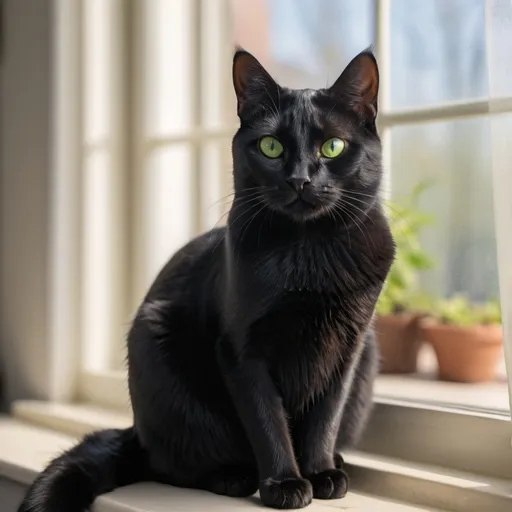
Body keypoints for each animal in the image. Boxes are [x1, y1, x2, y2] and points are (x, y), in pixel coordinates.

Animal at [19, 49, 396, 512]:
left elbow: (325, 416)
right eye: (270, 147)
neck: (308, 251)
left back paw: (333, 462)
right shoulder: (241, 350)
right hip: (156, 349)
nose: (300, 179)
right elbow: (267, 422)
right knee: (173, 464)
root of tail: (136, 432)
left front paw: (321, 471)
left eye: (333, 146)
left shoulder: (348, 347)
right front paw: (285, 483)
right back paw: (233, 476)